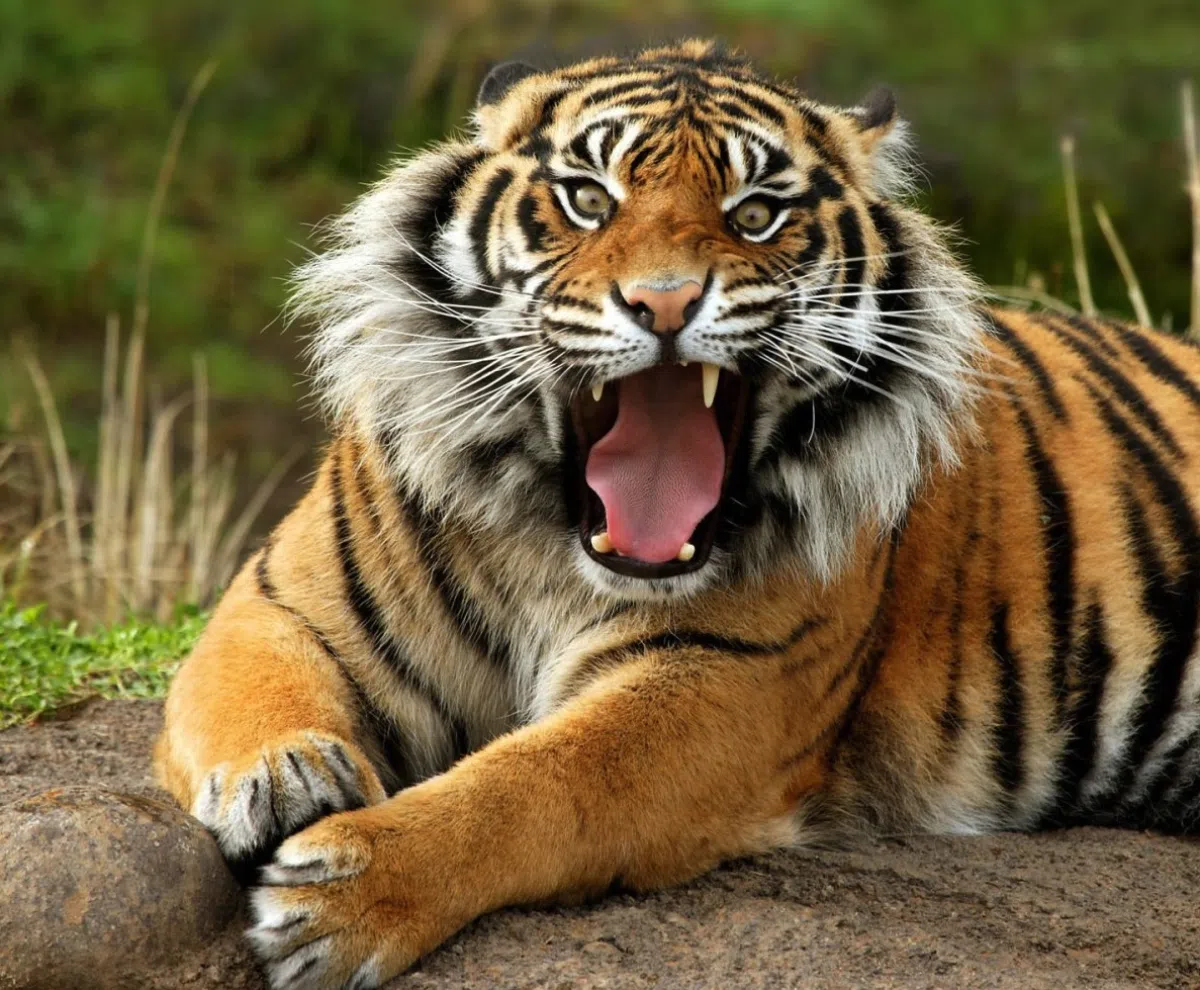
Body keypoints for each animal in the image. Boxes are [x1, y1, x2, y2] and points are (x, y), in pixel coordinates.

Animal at [153, 38, 1200, 990]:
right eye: (589, 199)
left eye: (756, 214)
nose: (664, 304)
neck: (551, 544)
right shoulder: (281, 600)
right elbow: (251, 688)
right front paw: (285, 781)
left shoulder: (727, 680)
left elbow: (538, 781)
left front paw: (343, 897)